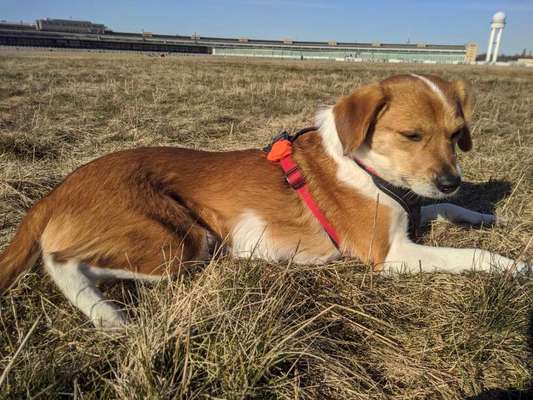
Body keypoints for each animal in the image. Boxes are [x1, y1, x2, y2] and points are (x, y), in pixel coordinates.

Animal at [0, 72, 524, 328]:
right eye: (412, 135)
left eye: (457, 135)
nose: (451, 180)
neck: (370, 170)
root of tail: (58, 190)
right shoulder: (389, 255)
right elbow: (468, 255)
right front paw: (509, 265)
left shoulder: (417, 207)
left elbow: (440, 209)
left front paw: (478, 212)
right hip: (182, 243)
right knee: (61, 260)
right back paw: (104, 313)